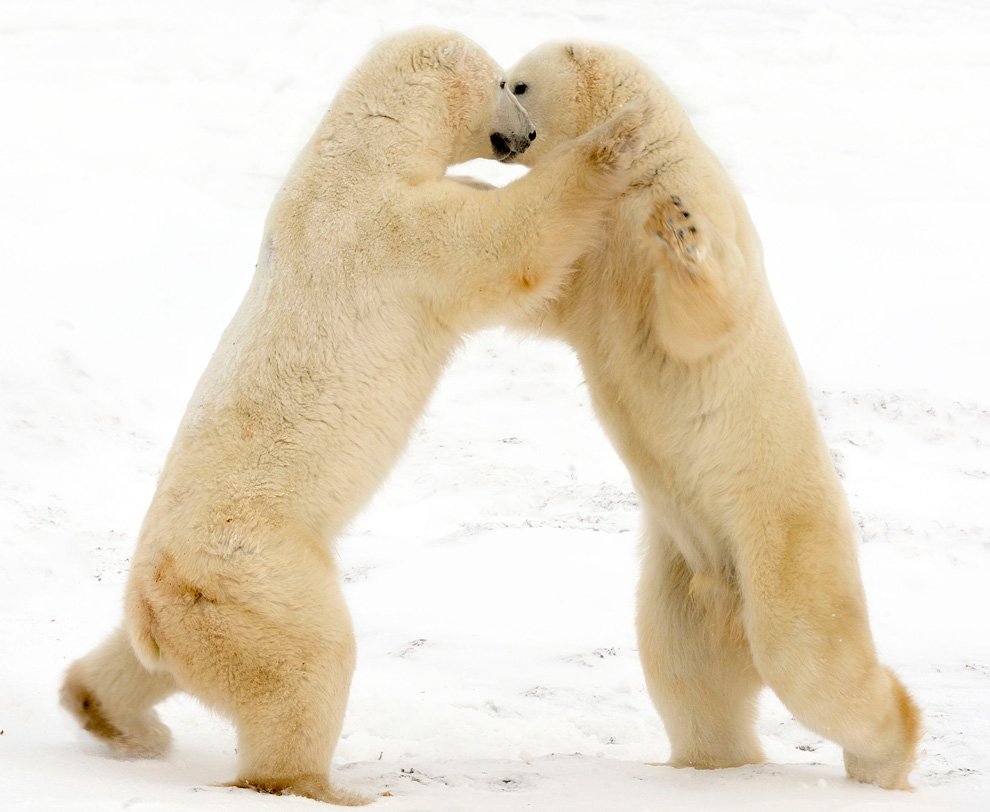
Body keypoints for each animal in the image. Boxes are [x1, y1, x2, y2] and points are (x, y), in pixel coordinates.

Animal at [62, 28, 652, 804]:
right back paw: (317, 784)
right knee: (307, 659)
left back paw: (112, 714)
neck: (359, 153)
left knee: (145, 663)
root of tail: (153, 597)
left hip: (190, 608)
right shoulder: (394, 232)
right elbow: (505, 245)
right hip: (257, 572)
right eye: (505, 83)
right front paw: (619, 136)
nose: (524, 136)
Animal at [508, 42, 928, 788]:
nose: (505, 137)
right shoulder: (593, 255)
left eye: (521, 83)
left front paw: (682, 236)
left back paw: (884, 759)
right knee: (686, 669)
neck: (642, 171)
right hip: (682, 570)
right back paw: (707, 762)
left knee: (810, 658)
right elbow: (543, 287)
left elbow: (698, 316)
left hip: (781, 542)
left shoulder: (680, 201)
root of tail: (732, 604)